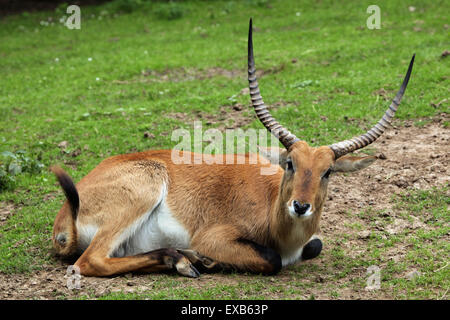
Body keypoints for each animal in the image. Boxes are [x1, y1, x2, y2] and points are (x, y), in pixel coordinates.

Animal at [51, 19, 414, 278]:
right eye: (290, 163)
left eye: (328, 172)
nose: (300, 206)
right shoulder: (215, 237)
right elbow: (271, 260)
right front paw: (207, 259)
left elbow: (316, 246)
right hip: (140, 194)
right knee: (90, 262)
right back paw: (188, 260)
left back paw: (183, 261)